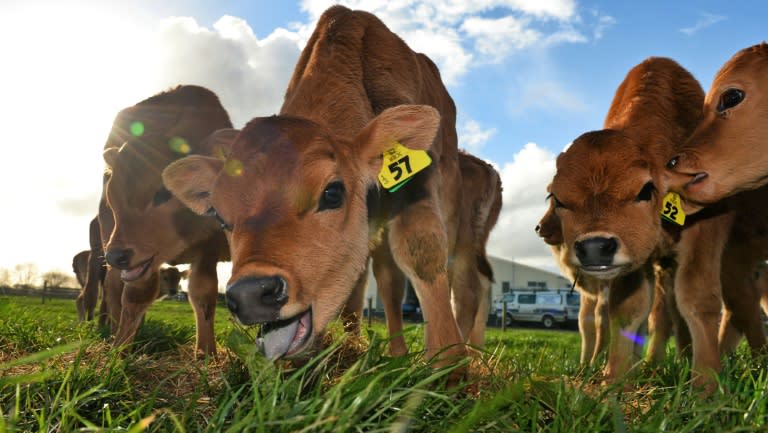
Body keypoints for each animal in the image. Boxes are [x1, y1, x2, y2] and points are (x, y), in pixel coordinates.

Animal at [97, 85, 232, 354]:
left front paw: (206, 353)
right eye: (111, 195)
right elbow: (135, 295)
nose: (116, 256)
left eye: (164, 192)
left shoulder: (209, 245)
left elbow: (203, 294)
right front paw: (119, 351)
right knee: (113, 288)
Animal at [163, 6, 474, 364]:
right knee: (382, 281)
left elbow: (422, 253)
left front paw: (450, 363)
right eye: (219, 216)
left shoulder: (420, 186)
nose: (252, 293)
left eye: (332, 193)